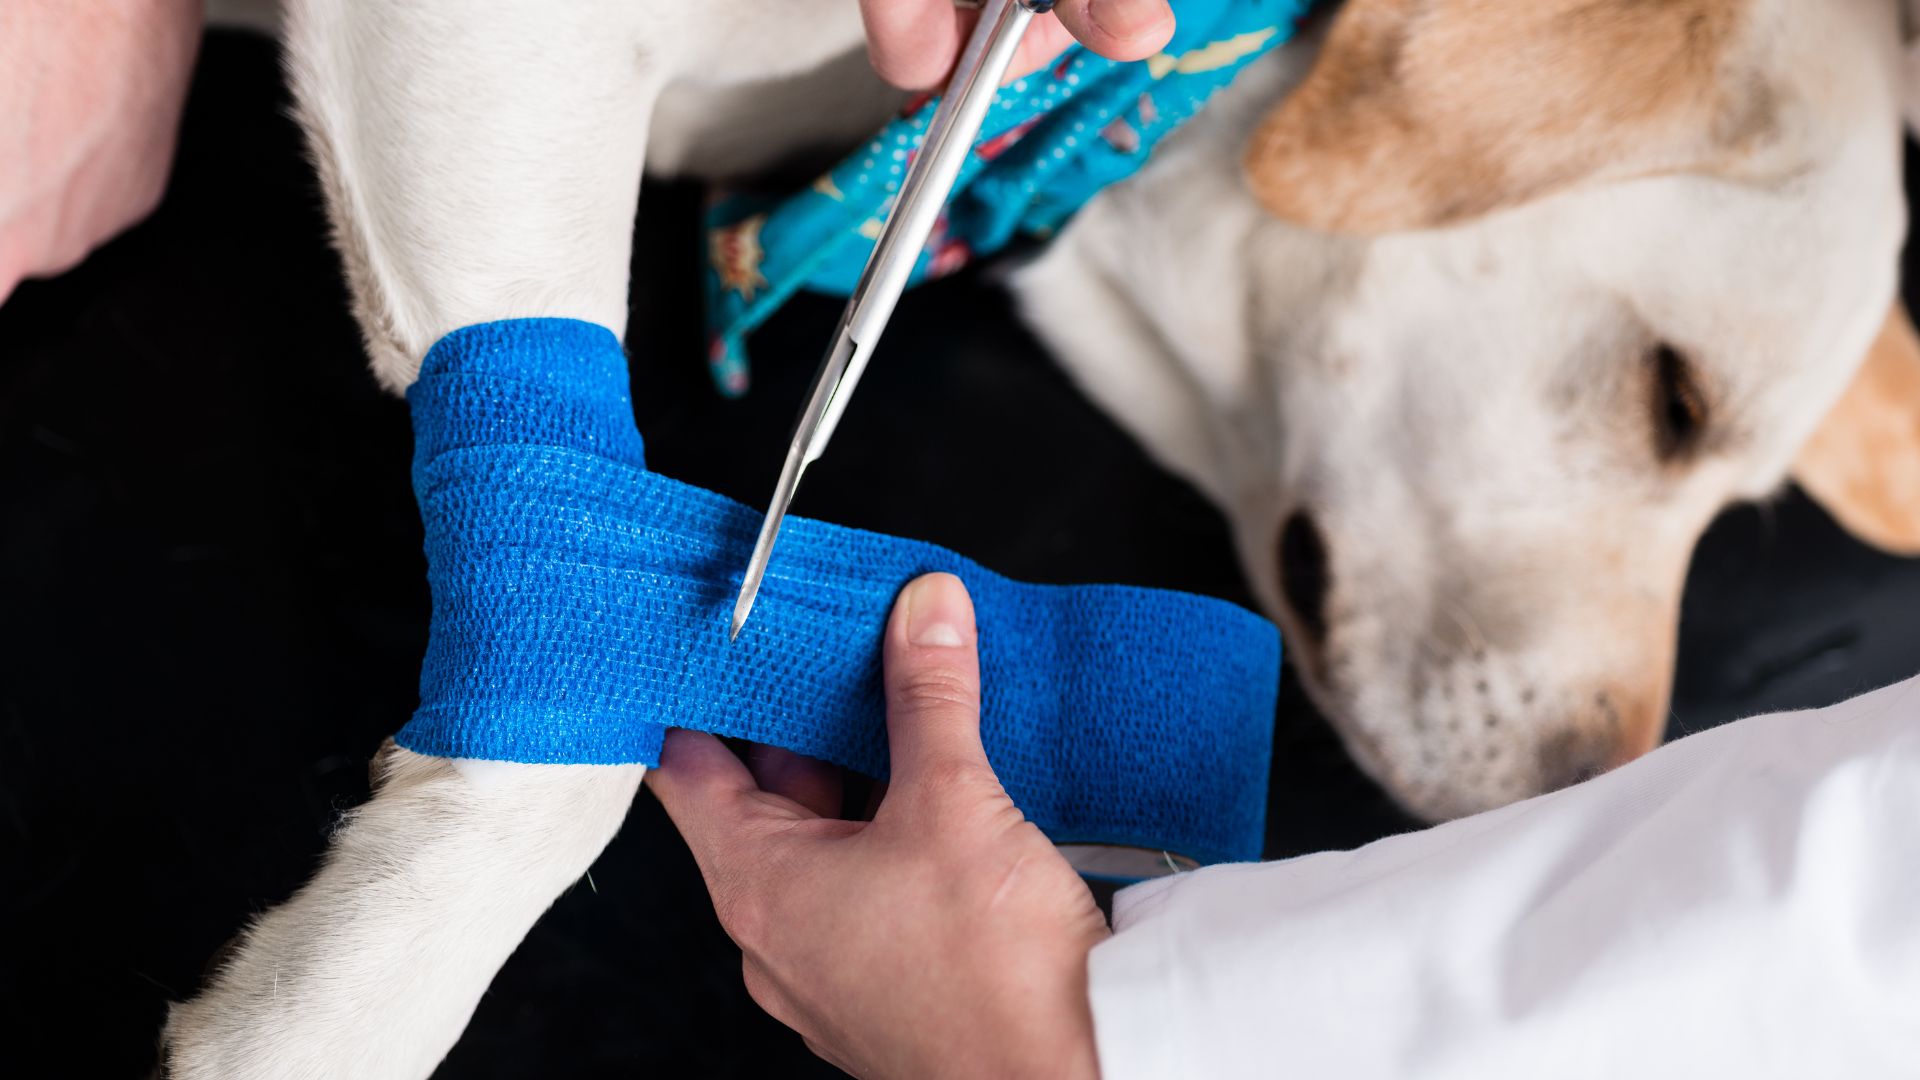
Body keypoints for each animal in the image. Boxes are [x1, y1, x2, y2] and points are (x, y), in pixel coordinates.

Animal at [161, 0, 1920, 1068]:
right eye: (1674, 400)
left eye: (1733, 498)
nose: (1594, 790)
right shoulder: (492, 37)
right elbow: (567, 738)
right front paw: (338, 1007)